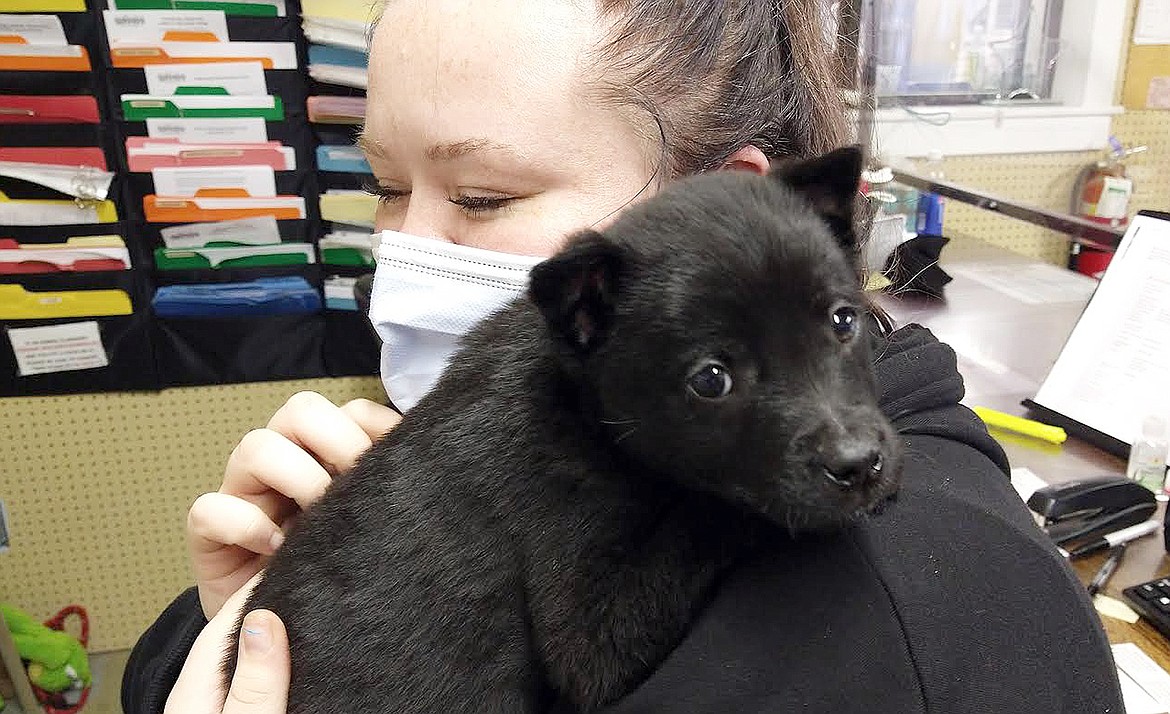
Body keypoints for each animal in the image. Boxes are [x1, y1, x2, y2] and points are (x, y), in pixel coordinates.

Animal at [230, 143, 903, 706]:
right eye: (712, 379)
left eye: (844, 321)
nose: (859, 465)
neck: (584, 410)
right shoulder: (586, 620)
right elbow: (708, 514)